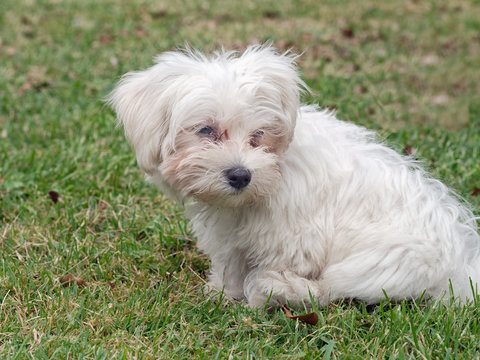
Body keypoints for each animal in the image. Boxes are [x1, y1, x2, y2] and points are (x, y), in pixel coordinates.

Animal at [109, 44, 480, 306]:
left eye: (258, 136)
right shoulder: (231, 231)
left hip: (380, 262)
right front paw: (224, 292)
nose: (240, 175)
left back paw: (277, 290)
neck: (274, 173)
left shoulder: (297, 239)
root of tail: (461, 268)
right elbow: (231, 259)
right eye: (206, 130)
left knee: (332, 289)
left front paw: (253, 294)